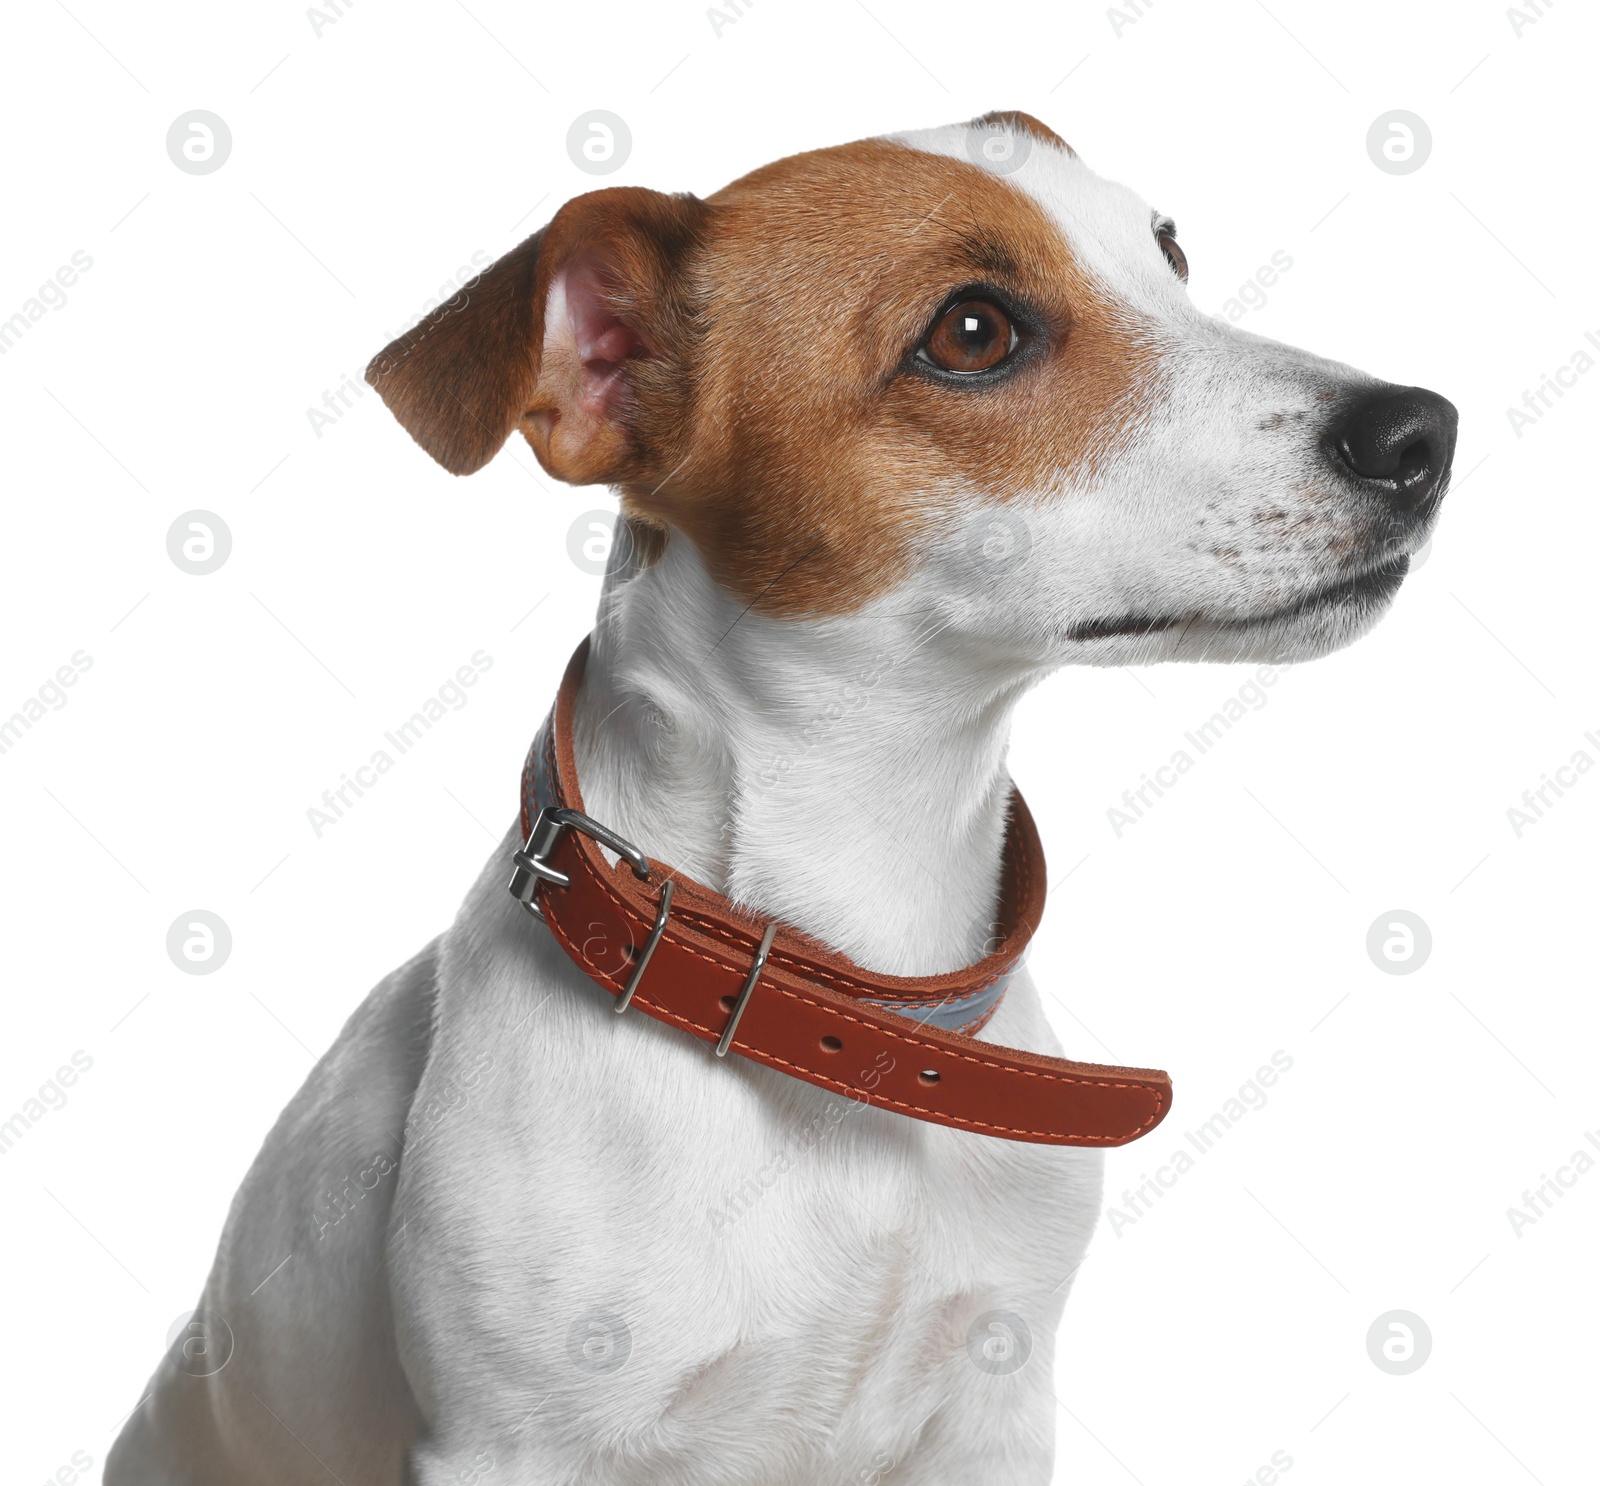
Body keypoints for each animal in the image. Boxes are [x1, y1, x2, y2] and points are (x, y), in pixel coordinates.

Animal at [109, 110, 1452, 1478]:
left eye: (1168, 257)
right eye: (974, 332)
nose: (1421, 432)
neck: (849, 1005)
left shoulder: (995, 1406)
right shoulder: (515, 1444)